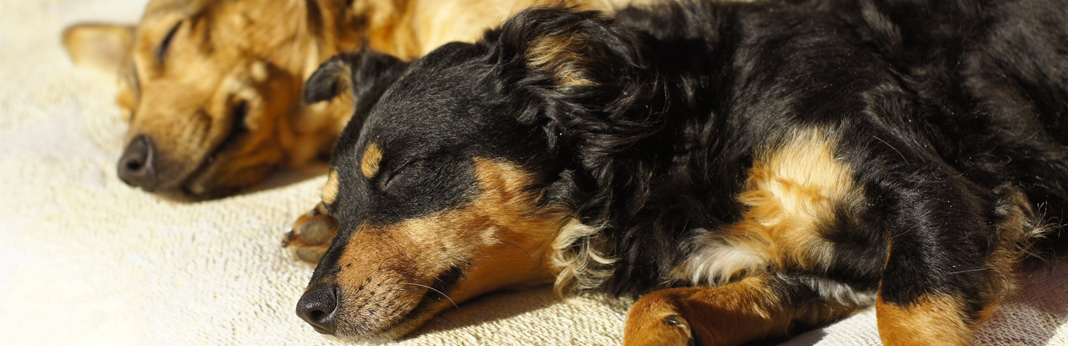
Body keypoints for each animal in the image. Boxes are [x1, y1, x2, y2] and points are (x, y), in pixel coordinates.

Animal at [288, 0, 1068, 343]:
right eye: (337, 203)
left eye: (400, 175)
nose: (308, 311)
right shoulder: (808, 274)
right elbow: (653, 306)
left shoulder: (937, 189)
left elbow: (903, 314)